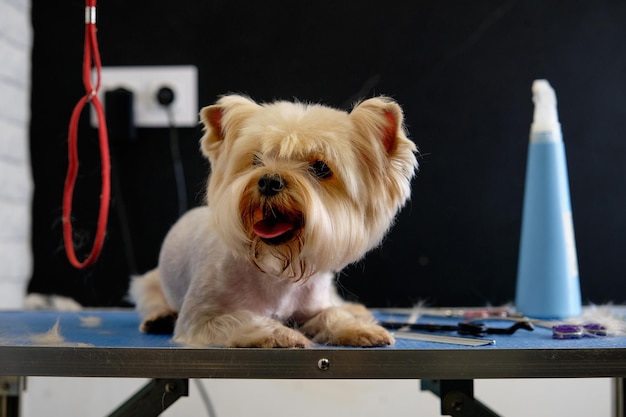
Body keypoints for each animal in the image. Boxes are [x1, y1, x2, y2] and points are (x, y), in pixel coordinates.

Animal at [130, 94, 416, 348]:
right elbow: (241, 319)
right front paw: (282, 334)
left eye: (321, 168)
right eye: (256, 159)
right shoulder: (200, 319)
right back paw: (159, 317)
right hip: (150, 283)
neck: (276, 266)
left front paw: (359, 328)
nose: (268, 181)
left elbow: (330, 314)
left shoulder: (313, 303)